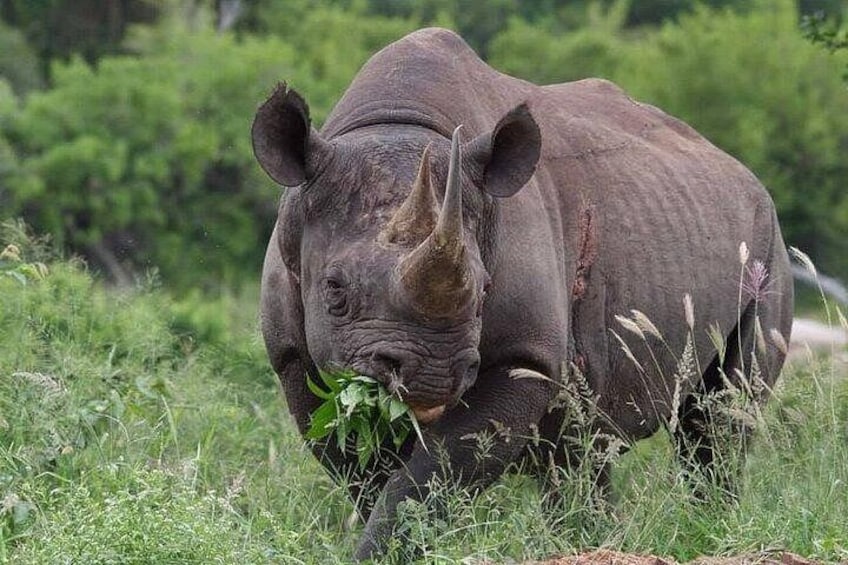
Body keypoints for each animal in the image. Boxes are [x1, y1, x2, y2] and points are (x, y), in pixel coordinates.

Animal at [252, 28, 793, 559]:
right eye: (334, 289)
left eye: (484, 290)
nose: (433, 375)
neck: (396, 126)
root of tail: (740, 170)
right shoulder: (295, 359)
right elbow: (363, 471)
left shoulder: (524, 358)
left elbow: (430, 475)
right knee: (583, 449)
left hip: (767, 243)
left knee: (717, 421)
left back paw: (708, 529)